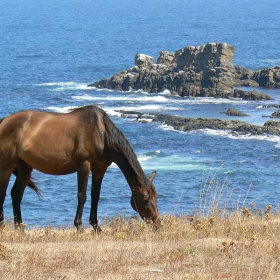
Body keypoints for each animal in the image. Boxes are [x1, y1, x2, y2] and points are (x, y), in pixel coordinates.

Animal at [0, 106, 161, 231]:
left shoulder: (99, 169)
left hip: (25, 166)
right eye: (145, 198)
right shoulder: (84, 165)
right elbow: (82, 196)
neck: (101, 133)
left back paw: (20, 229)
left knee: (16, 194)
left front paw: (96, 227)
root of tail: (4, 121)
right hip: (6, 165)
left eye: (156, 197)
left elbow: (95, 196)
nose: (157, 224)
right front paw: (79, 226)